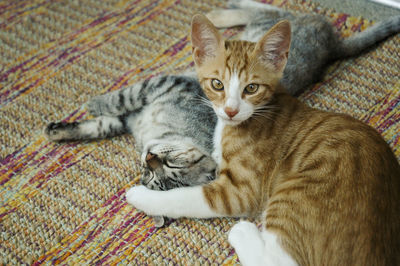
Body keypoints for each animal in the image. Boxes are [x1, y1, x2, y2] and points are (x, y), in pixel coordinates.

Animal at [45, 0, 398, 224]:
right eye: (151, 170)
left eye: (166, 171)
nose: (149, 158)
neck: (153, 131)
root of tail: (333, 46)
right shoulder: (152, 96)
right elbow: (111, 110)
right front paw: (63, 126)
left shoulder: (164, 86)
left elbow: (117, 104)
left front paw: (90, 106)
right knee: (278, 10)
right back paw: (221, 13)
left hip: (270, 25)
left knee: (279, 10)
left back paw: (222, 12)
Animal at [127, 15, 400, 266]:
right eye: (217, 84)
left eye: (251, 88)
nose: (231, 110)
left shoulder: (237, 191)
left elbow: (183, 197)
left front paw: (139, 195)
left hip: (294, 196)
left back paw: (242, 232)